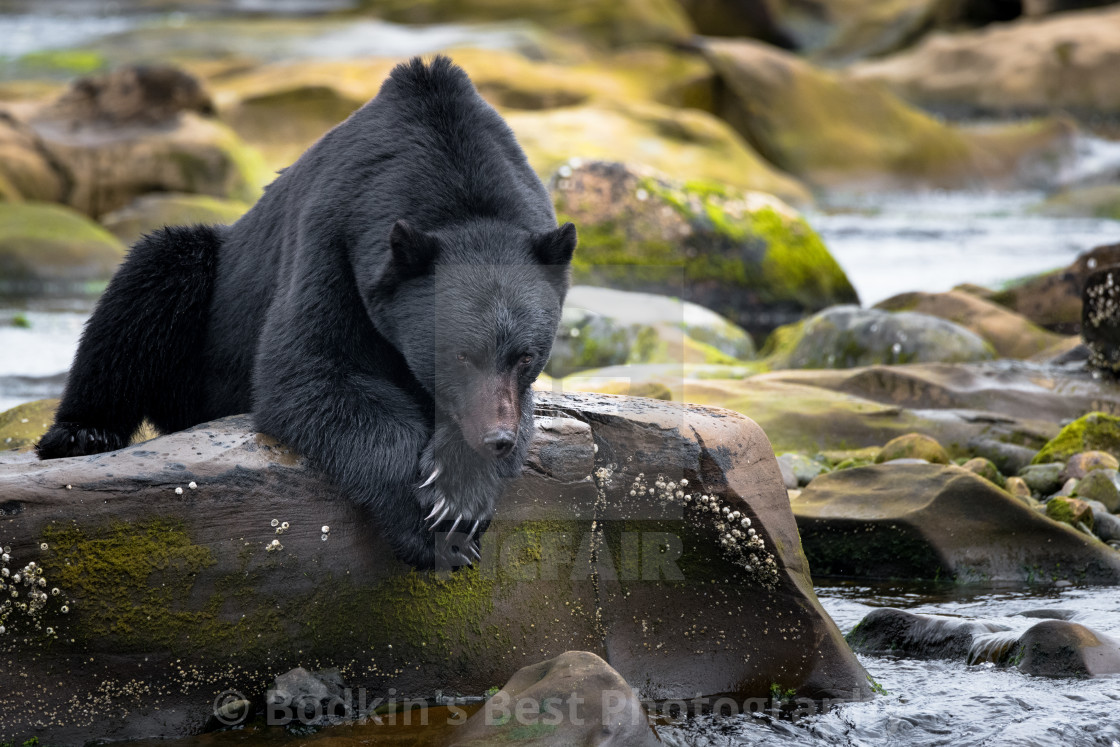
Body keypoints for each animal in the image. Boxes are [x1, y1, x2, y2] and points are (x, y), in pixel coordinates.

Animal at [37, 58, 577, 568]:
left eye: (526, 357)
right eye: (460, 355)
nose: (495, 439)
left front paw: (458, 492)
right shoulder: (332, 241)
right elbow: (311, 371)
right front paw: (426, 522)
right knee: (149, 282)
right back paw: (82, 432)